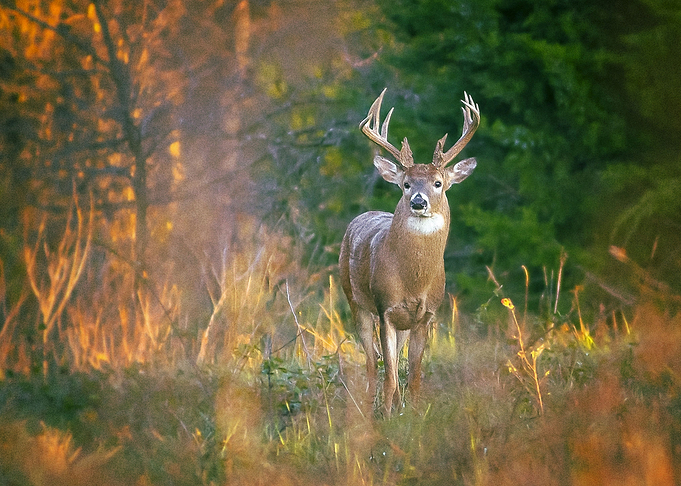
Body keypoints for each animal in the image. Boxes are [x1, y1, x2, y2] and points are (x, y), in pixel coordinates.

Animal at [339, 88, 480, 417]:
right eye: (405, 184)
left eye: (438, 183)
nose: (418, 202)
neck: (413, 280)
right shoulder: (386, 309)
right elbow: (390, 375)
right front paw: (388, 417)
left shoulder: (425, 315)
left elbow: (414, 375)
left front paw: (413, 415)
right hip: (355, 300)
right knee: (371, 362)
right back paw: (369, 410)